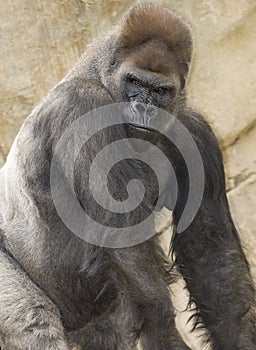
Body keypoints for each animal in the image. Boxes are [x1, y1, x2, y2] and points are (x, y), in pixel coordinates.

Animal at [0, 3, 256, 350]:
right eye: (133, 81)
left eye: (160, 90)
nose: (145, 108)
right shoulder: (83, 104)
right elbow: (124, 237)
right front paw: (165, 332)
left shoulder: (195, 130)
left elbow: (210, 249)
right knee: (31, 319)